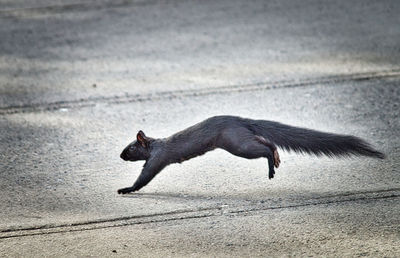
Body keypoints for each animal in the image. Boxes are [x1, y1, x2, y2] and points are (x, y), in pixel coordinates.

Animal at [118, 115, 384, 194]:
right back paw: (276, 159)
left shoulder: (157, 159)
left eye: (129, 148)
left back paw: (272, 165)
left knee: (264, 147)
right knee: (267, 142)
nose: (120, 156)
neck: (156, 145)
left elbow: (144, 177)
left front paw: (126, 189)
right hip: (241, 140)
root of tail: (242, 121)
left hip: (237, 144)